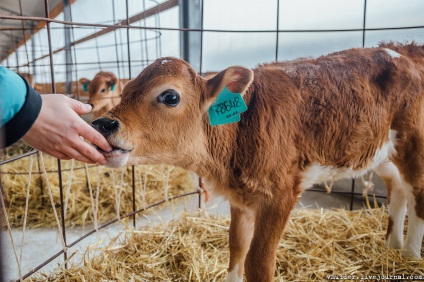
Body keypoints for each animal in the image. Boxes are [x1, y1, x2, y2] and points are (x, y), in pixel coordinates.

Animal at [93, 43, 424, 280]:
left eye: (170, 96)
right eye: (125, 91)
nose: (102, 124)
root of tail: (404, 48)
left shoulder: (280, 195)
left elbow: (258, 262)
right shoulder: (240, 196)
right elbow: (237, 246)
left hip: (414, 143)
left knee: (417, 194)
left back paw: (409, 256)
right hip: (381, 152)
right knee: (398, 189)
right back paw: (391, 247)